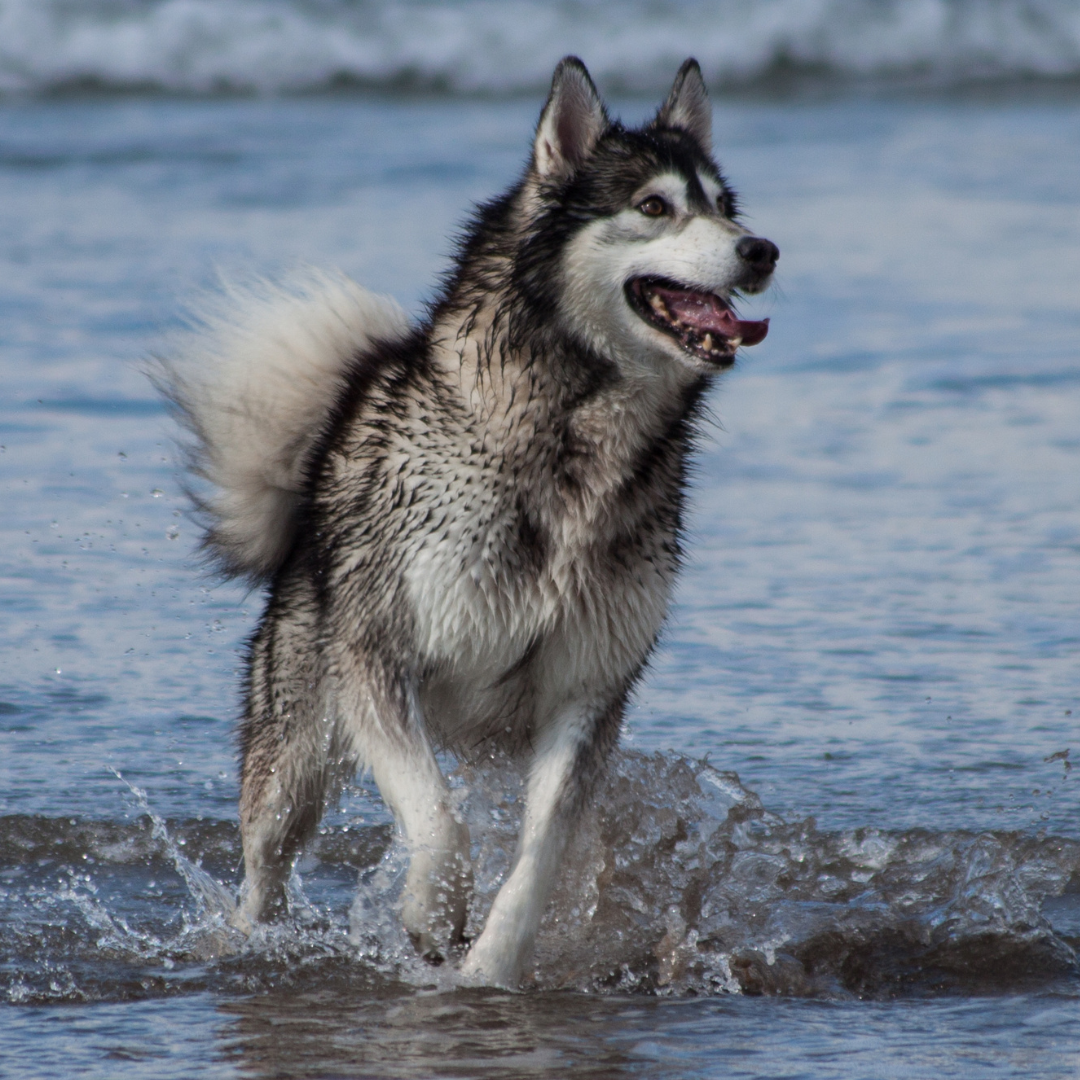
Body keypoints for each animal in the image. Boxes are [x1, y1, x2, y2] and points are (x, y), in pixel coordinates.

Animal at [157, 56, 777, 989]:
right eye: (655, 206)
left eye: (726, 206)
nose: (760, 249)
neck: (568, 442)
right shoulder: (377, 659)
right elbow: (435, 818)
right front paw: (430, 911)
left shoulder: (585, 693)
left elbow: (537, 857)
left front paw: (489, 969)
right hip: (292, 751)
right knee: (264, 871)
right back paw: (240, 944)